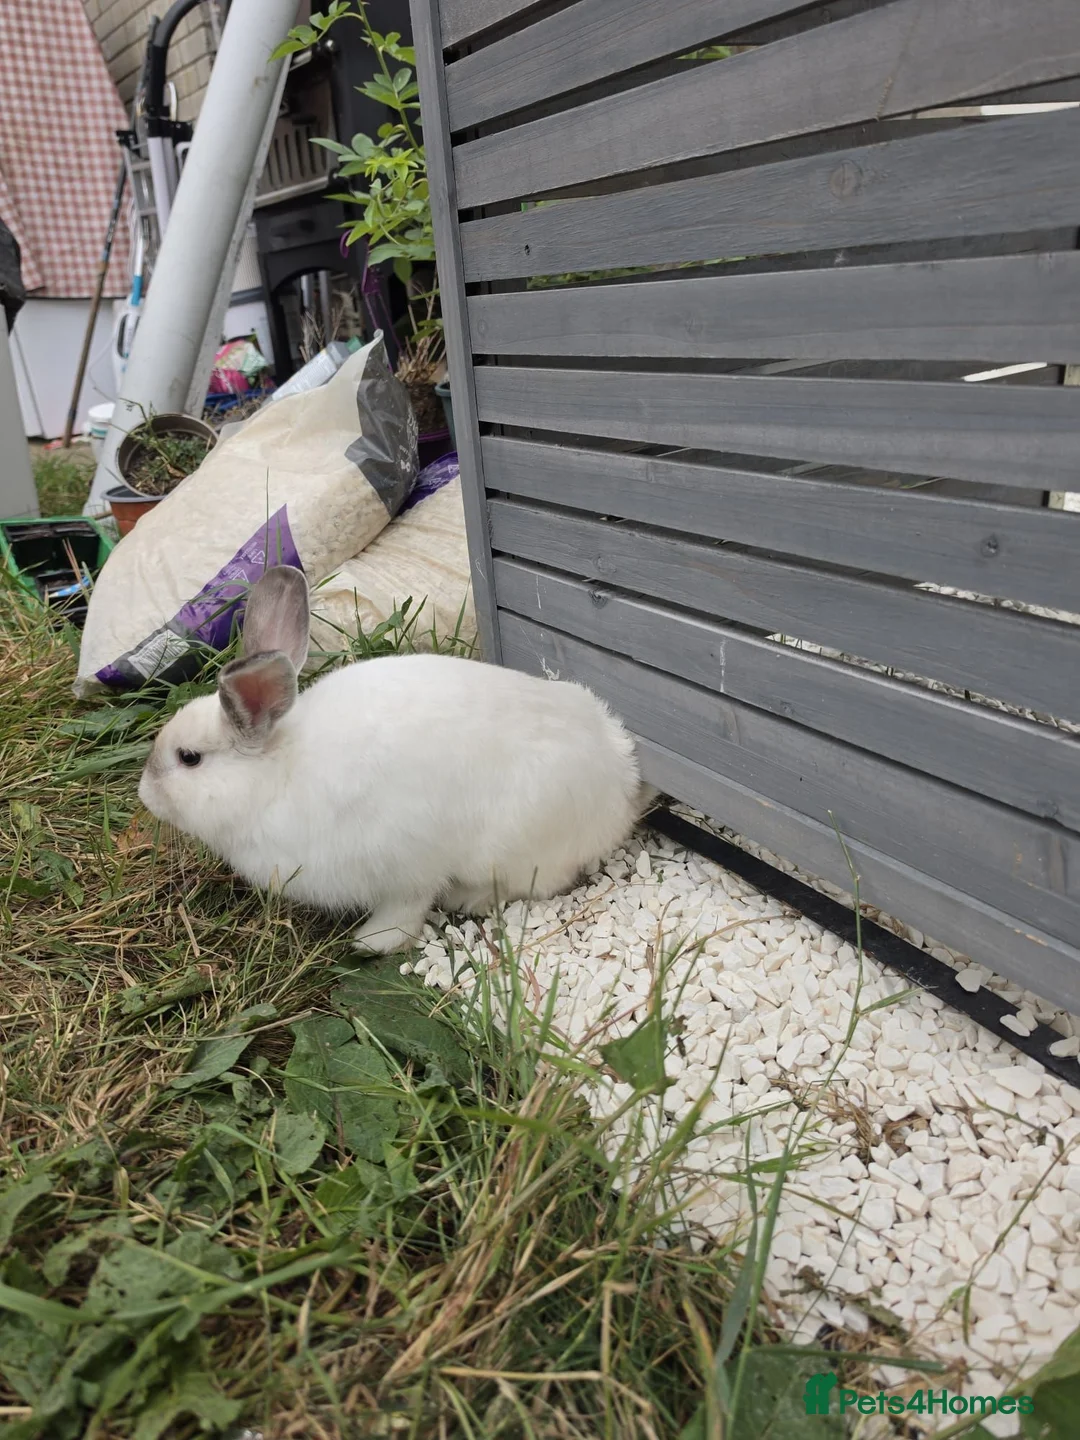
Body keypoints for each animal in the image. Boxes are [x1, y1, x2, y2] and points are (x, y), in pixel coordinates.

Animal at [138, 565, 653, 954]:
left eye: (189, 758)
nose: (144, 794)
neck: (275, 776)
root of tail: (623, 784)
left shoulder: (403, 867)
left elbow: (405, 910)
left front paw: (371, 943)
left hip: (516, 845)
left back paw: (468, 898)